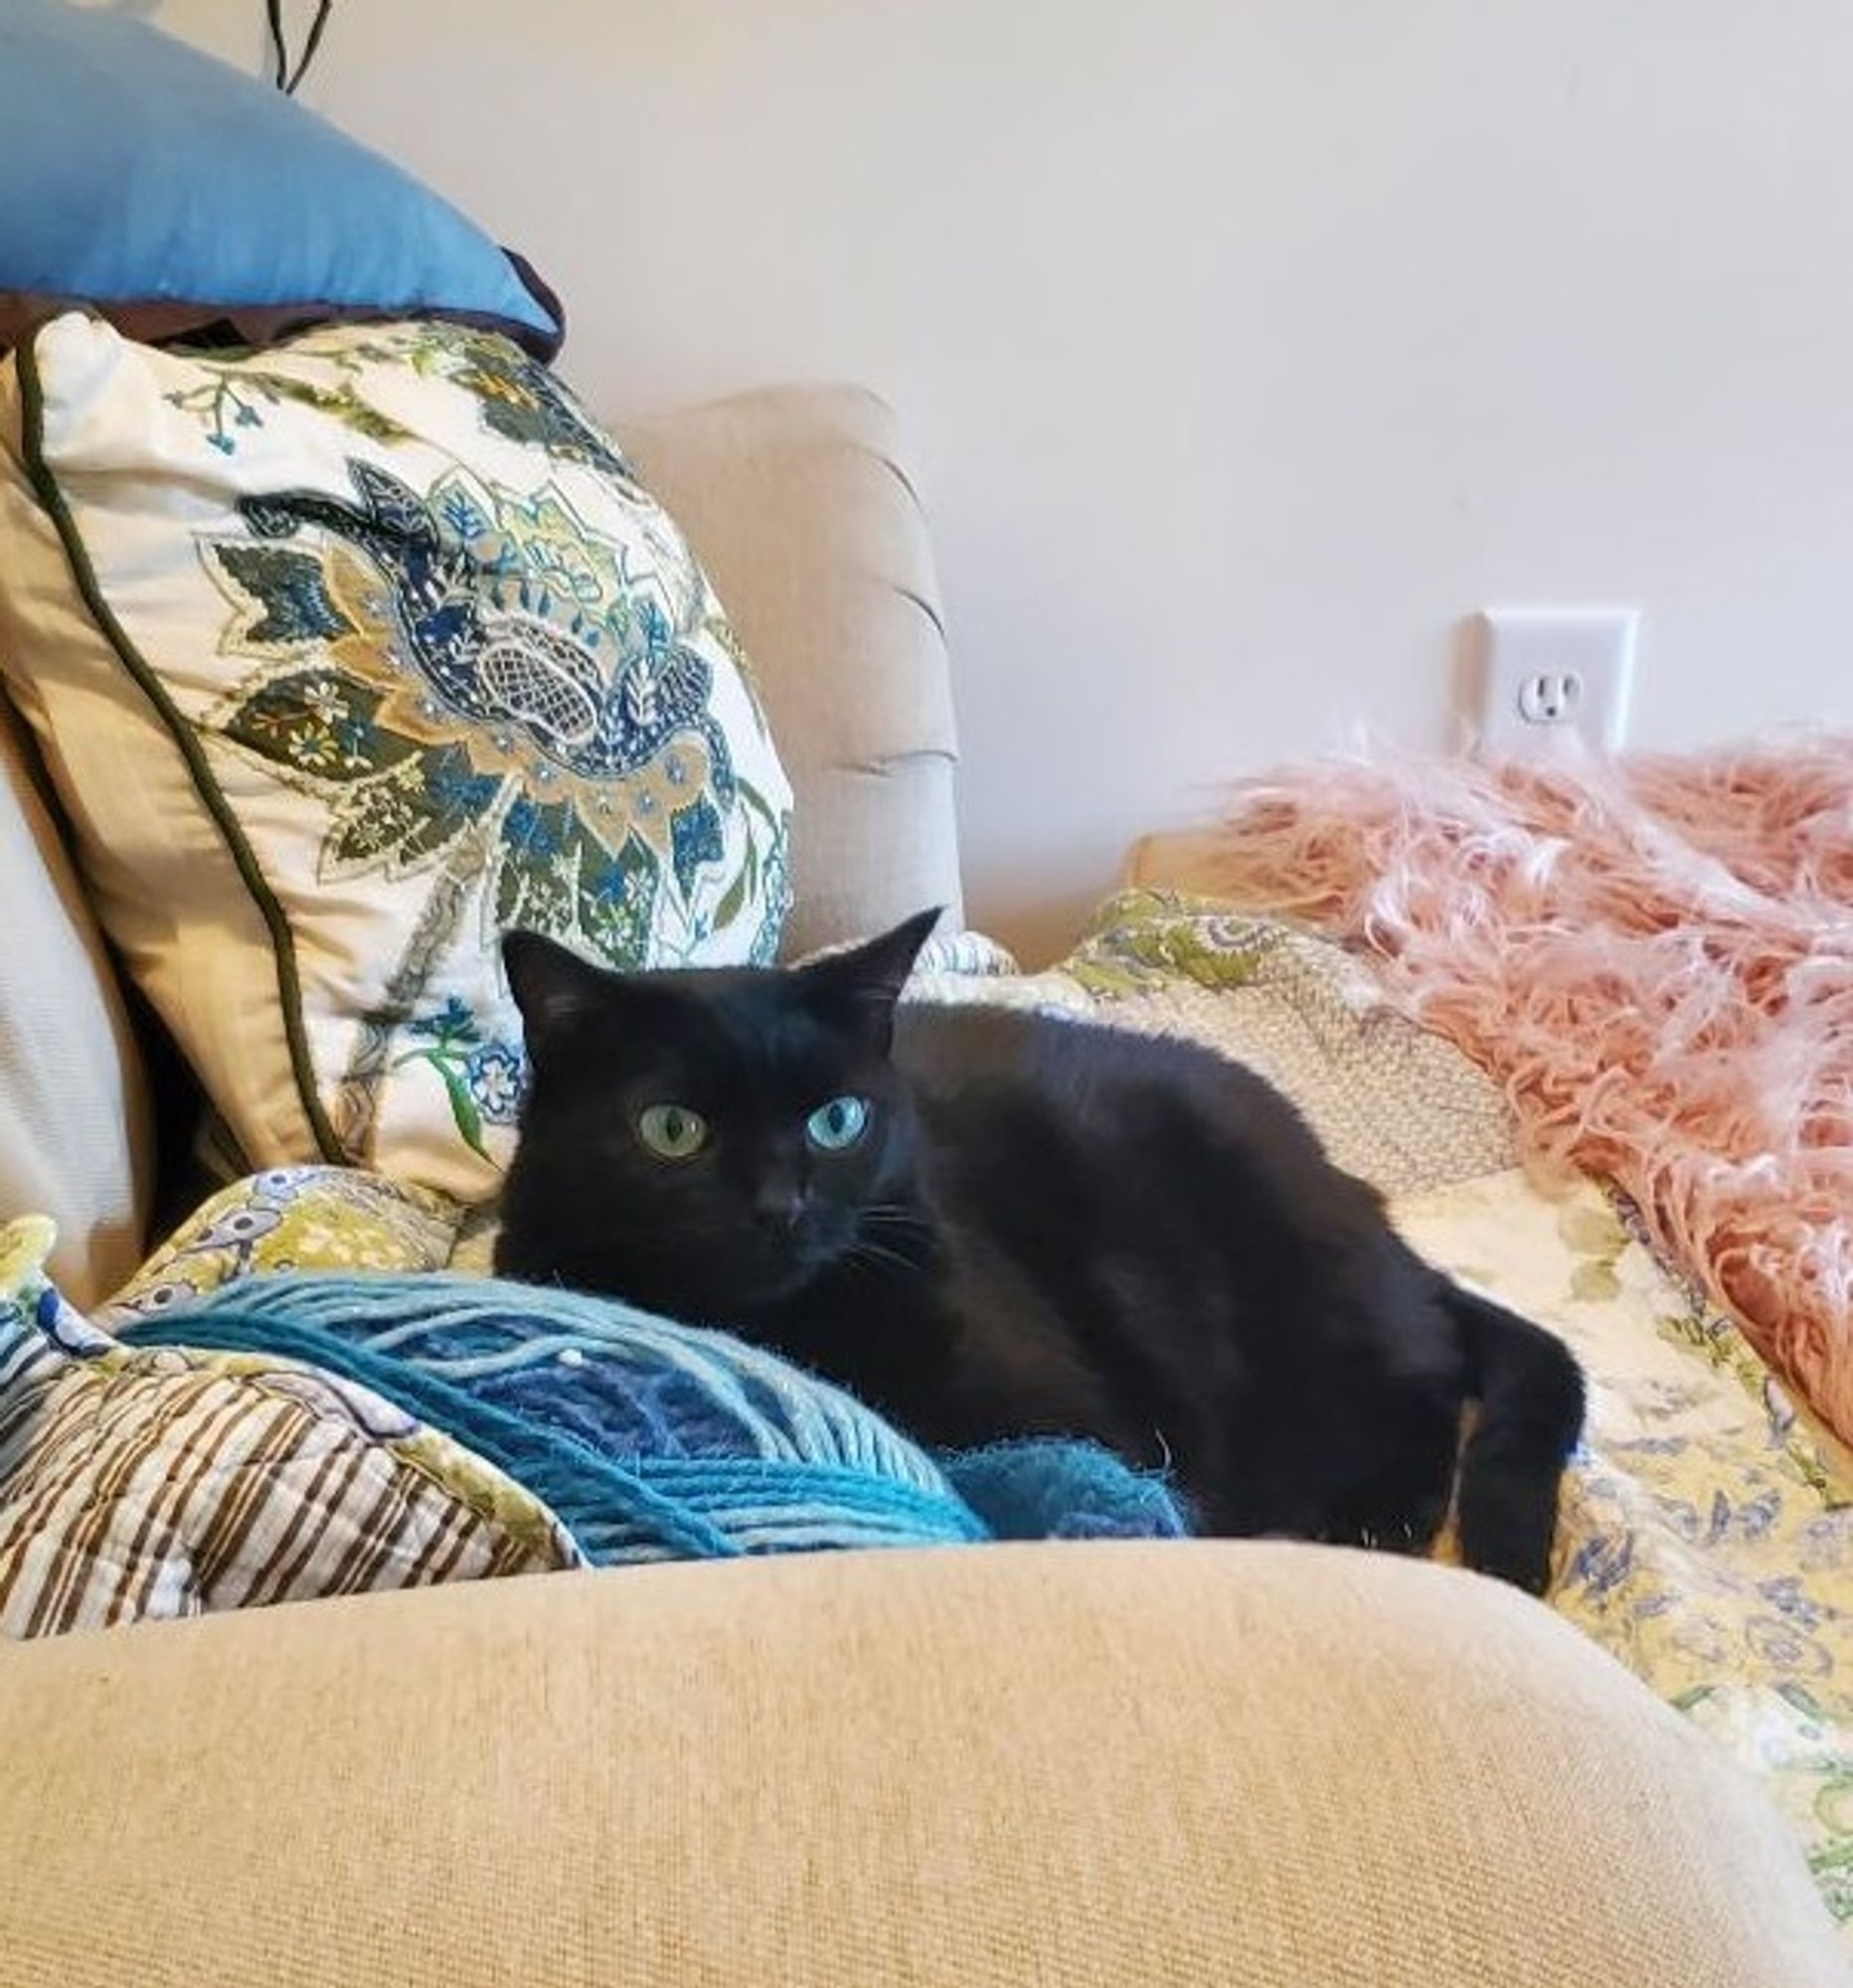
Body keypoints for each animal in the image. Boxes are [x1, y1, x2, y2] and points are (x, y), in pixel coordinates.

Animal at [493, 911, 1575, 1582]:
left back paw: (1377, 1516)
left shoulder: (1069, 1413)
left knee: (1421, 1375)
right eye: (671, 1130)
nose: (779, 1206)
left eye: (835, 1121)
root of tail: (1350, 1189)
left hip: (1300, 1278)